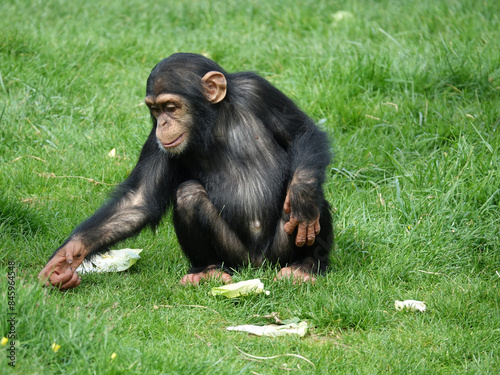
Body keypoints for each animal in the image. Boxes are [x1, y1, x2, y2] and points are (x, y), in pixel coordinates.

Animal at [39, 51, 332, 290]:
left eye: (171, 107)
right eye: (155, 110)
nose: (163, 124)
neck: (215, 121)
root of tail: (259, 264)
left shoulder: (258, 90)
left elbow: (301, 132)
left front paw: (302, 193)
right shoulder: (156, 143)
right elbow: (139, 200)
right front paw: (67, 257)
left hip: (280, 251)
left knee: (314, 197)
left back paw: (306, 265)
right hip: (235, 256)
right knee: (188, 195)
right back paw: (208, 271)